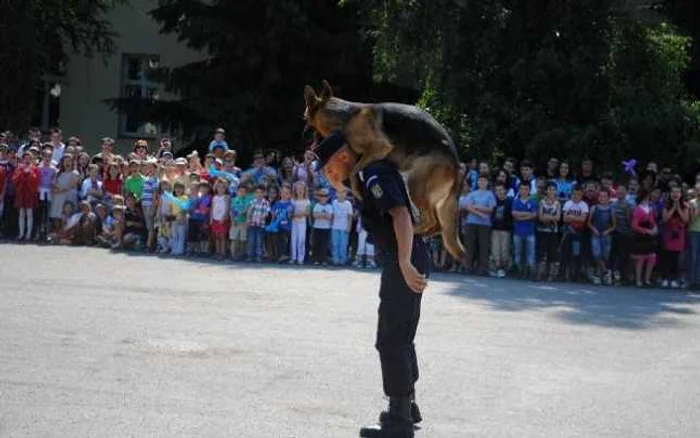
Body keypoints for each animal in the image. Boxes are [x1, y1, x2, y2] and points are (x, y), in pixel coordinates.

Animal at [304, 80, 468, 264]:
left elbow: (354, 170)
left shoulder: (380, 146)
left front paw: (356, 189)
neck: (347, 117)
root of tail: (457, 165)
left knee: (431, 221)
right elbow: (354, 169)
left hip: (416, 185)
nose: (311, 148)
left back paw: (413, 230)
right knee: (438, 225)